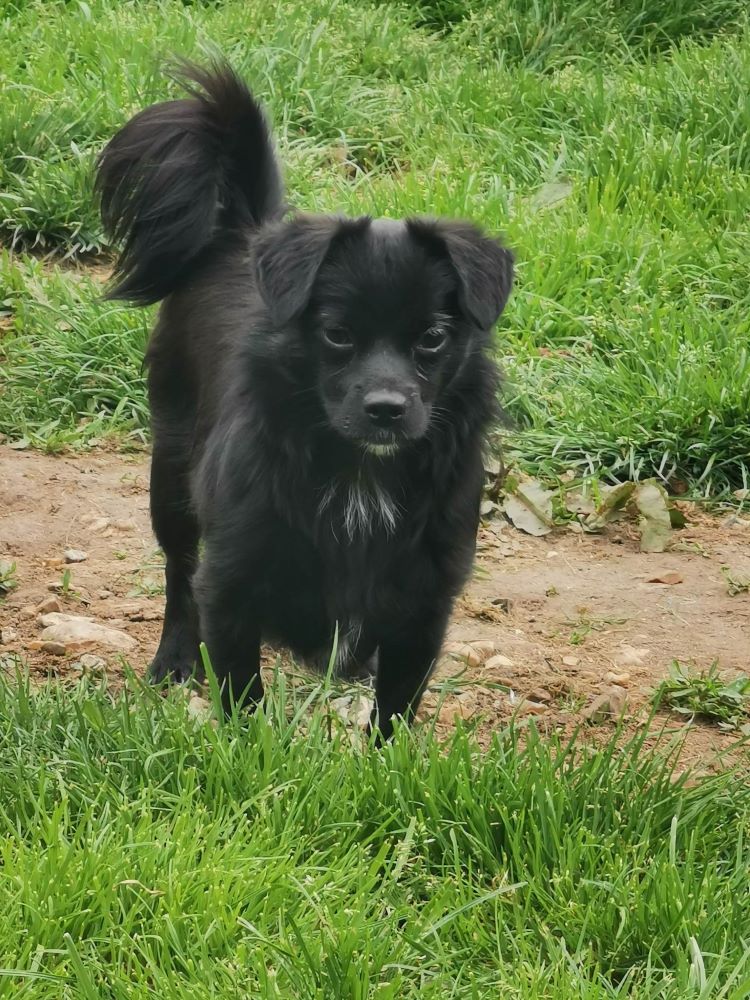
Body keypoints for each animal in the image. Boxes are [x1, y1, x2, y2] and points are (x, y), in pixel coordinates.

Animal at [97, 60, 516, 736]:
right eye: (337, 334)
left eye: (432, 337)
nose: (386, 409)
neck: (361, 474)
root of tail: (240, 231)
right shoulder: (232, 580)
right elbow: (241, 691)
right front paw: (247, 753)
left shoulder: (426, 600)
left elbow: (397, 709)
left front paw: (388, 758)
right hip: (172, 476)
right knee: (178, 572)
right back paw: (174, 659)